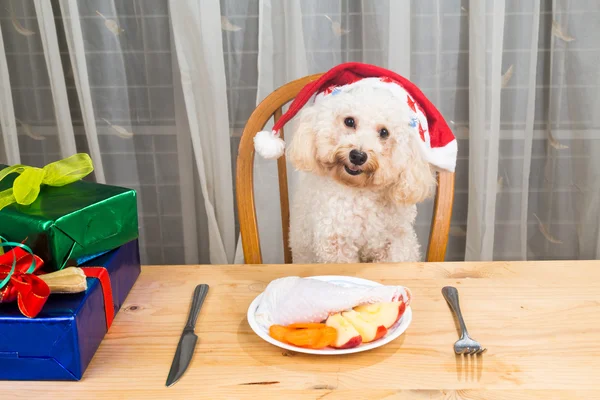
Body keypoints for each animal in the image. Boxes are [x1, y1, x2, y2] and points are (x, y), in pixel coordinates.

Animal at [286, 85, 436, 262]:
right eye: (349, 121)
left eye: (384, 132)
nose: (357, 156)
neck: (362, 192)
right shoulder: (336, 242)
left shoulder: (397, 241)